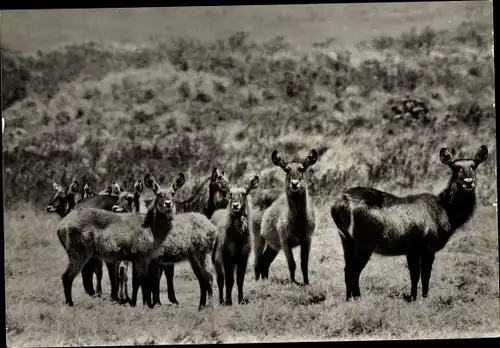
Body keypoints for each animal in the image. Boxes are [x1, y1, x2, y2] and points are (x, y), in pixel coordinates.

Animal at [57, 173, 186, 306]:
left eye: (173, 193)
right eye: (159, 194)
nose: (168, 203)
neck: (151, 226)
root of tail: (62, 224)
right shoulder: (142, 258)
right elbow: (144, 281)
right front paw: (147, 304)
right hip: (80, 255)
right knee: (68, 276)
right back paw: (72, 303)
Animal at [211, 174, 260, 304]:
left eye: (244, 193)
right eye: (230, 193)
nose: (235, 205)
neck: (238, 239)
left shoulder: (243, 258)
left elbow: (239, 280)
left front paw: (241, 300)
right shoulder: (226, 258)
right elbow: (229, 280)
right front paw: (228, 301)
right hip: (215, 260)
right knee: (220, 279)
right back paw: (221, 300)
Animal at [252, 148, 318, 284]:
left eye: (301, 168)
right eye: (287, 169)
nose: (294, 184)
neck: (298, 222)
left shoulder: (307, 239)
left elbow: (304, 264)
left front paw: (306, 283)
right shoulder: (285, 241)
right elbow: (292, 264)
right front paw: (293, 282)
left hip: (273, 245)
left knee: (264, 262)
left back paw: (266, 280)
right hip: (258, 236)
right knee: (257, 261)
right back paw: (257, 282)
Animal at [330, 145, 490, 300]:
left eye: (474, 165)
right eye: (455, 167)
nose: (468, 182)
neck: (447, 213)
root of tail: (338, 205)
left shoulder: (412, 249)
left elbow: (414, 276)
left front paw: (413, 298)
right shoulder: (428, 247)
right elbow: (425, 276)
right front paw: (424, 299)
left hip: (346, 240)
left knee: (347, 269)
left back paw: (348, 299)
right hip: (365, 241)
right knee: (354, 271)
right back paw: (358, 299)